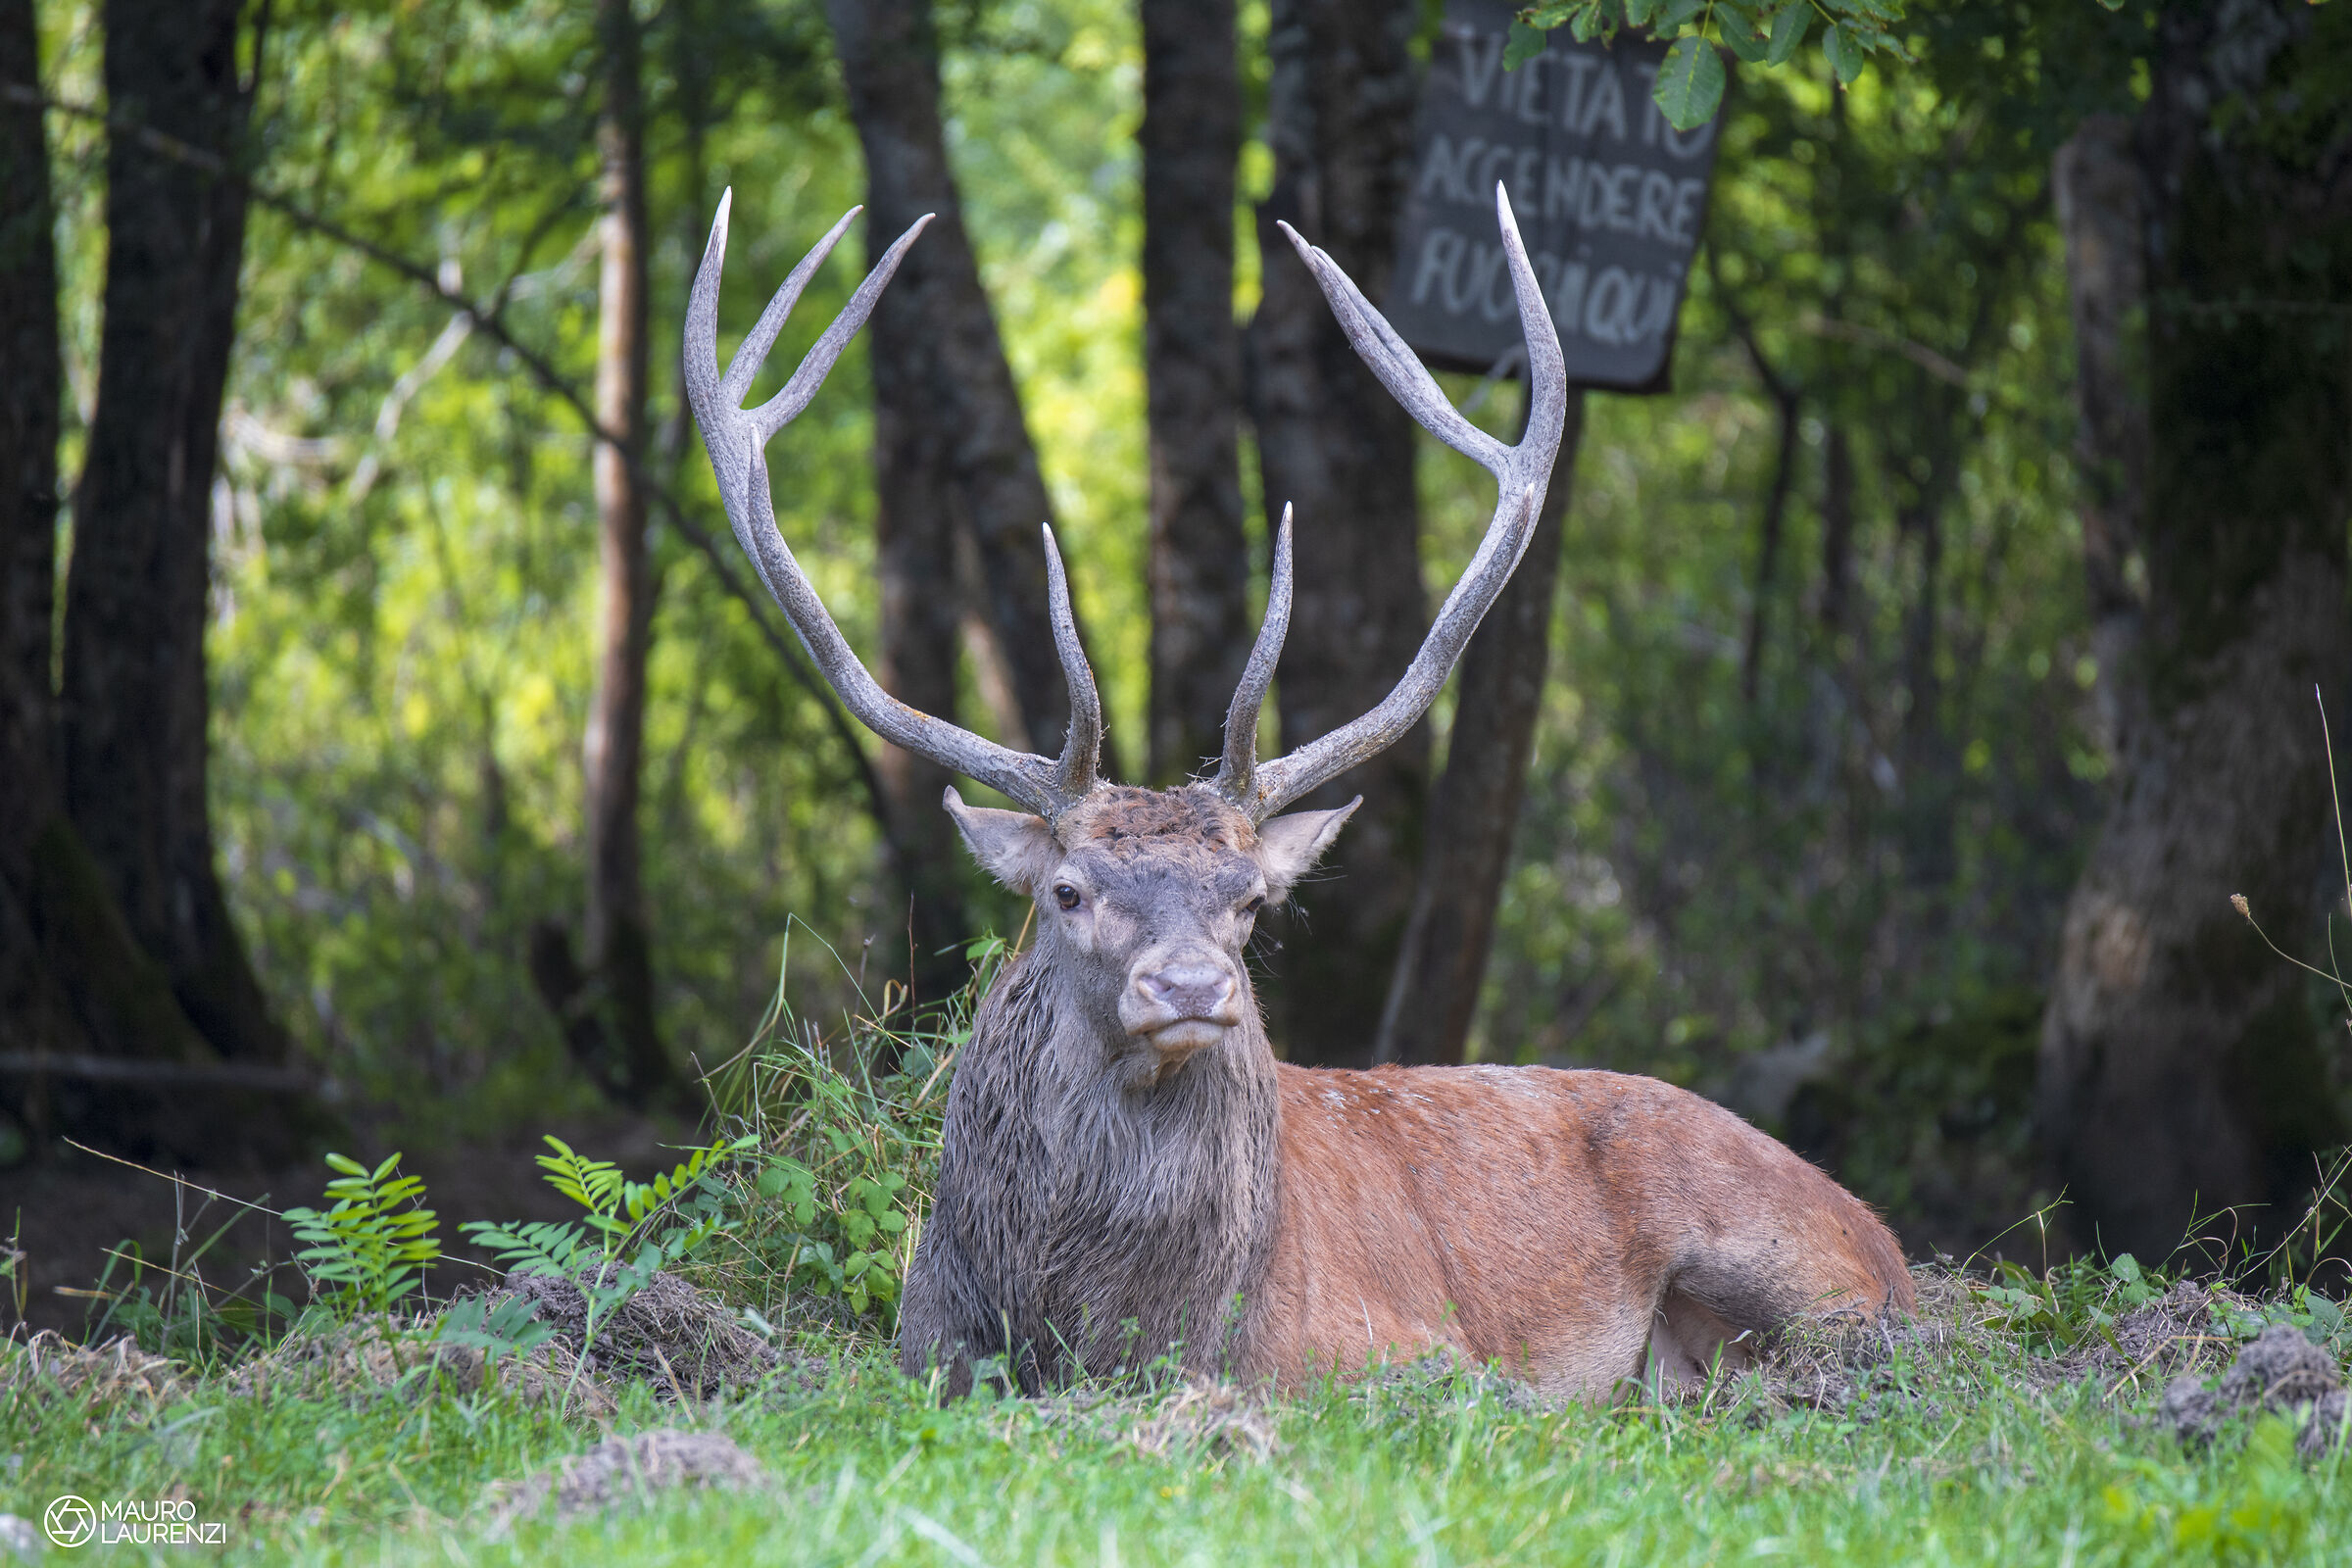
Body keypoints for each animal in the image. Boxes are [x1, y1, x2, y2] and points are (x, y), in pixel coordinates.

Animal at [685, 184, 1913, 1403]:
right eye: (1068, 890)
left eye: (1249, 897)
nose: (1188, 985)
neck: (1109, 1334)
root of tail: (1888, 1236)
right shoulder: (921, 1348)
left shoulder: (1414, 1351)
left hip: (1787, 1259)